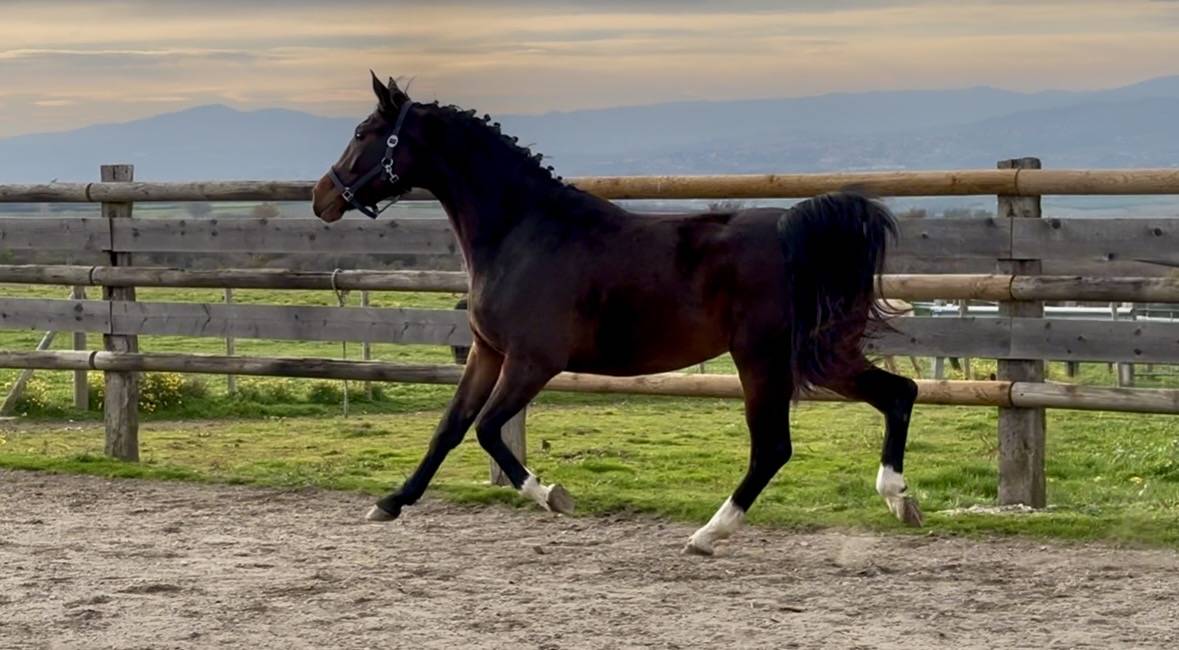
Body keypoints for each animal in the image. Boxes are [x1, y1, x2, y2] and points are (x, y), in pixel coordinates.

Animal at [311, 73, 923, 555]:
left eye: (363, 134)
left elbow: (487, 429)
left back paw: (708, 534)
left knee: (773, 446)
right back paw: (899, 500)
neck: (522, 232)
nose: (323, 197)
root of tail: (794, 230)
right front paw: (391, 501)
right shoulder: (488, 353)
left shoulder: (532, 362)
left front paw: (552, 495)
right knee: (899, 393)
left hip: (761, 359)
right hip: (820, 353)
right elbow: (450, 427)